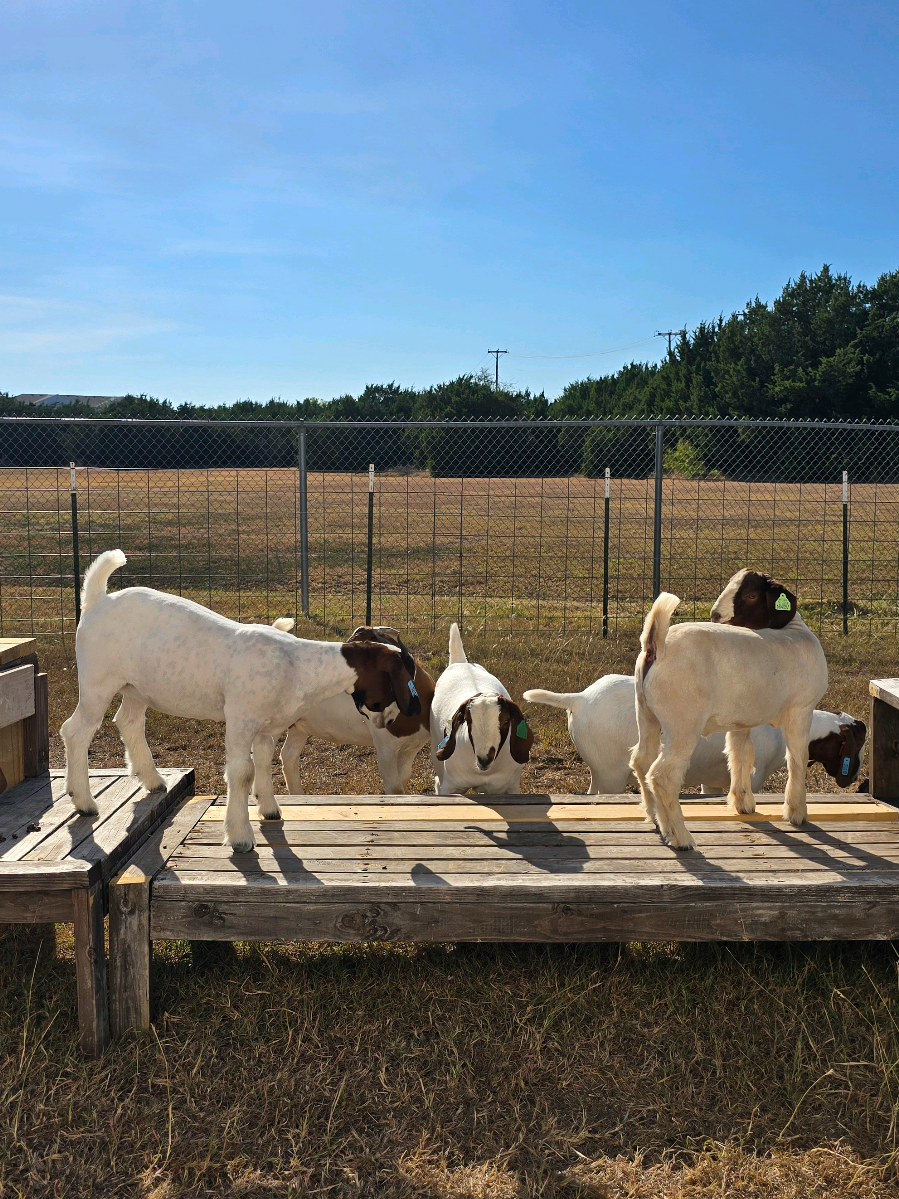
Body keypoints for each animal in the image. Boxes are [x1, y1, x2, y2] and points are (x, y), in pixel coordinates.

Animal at [273, 622, 434, 794]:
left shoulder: (411, 749)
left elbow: (404, 779)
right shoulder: (385, 748)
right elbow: (395, 788)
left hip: (298, 727)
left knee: (288, 756)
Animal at [431, 623, 533, 795]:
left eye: (506, 720)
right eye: (468, 720)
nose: (484, 759)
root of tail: (460, 663)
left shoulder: (510, 787)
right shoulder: (451, 786)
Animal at [524, 674, 865, 794]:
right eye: (856, 744)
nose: (853, 779)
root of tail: (579, 699)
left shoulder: (712, 783)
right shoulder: (752, 781)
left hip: (600, 772)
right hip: (611, 775)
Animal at [628, 569, 828, 850]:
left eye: (751, 594)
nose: (715, 616)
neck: (791, 630)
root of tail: (657, 646)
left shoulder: (739, 721)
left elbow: (741, 755)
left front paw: (743, 803)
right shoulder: (801, 710)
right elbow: (797, 759)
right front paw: (796, 813)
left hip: (646, 713)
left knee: (642, 760)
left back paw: (658, 822)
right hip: (683, 723)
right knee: (663, 775)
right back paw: (681, 837)